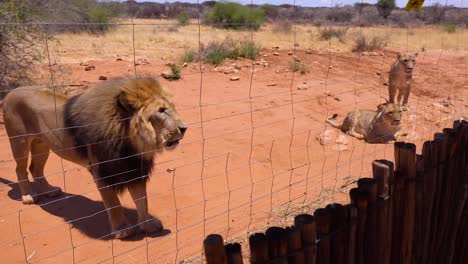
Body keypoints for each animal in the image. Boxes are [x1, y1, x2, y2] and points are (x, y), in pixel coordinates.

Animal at [2, 77, 188, 239]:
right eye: (161, 111)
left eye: (172, 107)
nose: (184, 128)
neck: (131, 142)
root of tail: (10, 93)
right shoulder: (102, 172)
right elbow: (113, 203)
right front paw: (122, 230)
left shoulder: (134, 169)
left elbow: (142, 201)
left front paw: (148, 225)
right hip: (19, 142)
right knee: (20, 169)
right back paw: (27, 196)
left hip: (41, 144)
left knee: (35, 168)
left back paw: (49, 190)